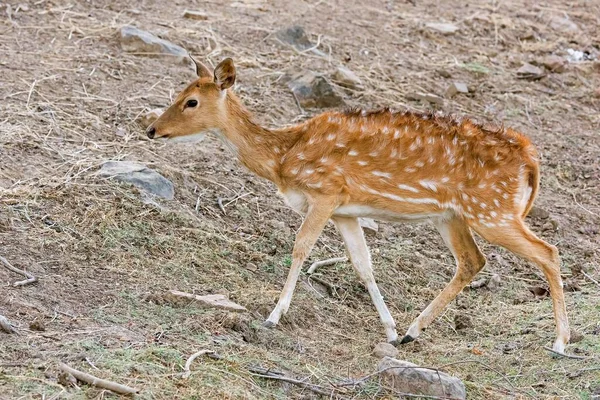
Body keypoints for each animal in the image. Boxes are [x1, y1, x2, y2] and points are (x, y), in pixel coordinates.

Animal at [148, 57, 568, 354]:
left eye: (191, 101)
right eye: (179, 93)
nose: (151, 129)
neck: (284, 158)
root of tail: (530, 160)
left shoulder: (325, 192)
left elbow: (301, 248)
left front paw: (273, 316)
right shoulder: (345, 212)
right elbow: (363, 265)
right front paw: (390, 329)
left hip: (492, 210)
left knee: (548, 251)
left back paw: (561, 342)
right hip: (454, 216)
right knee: (472, 261)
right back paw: (412, 332)